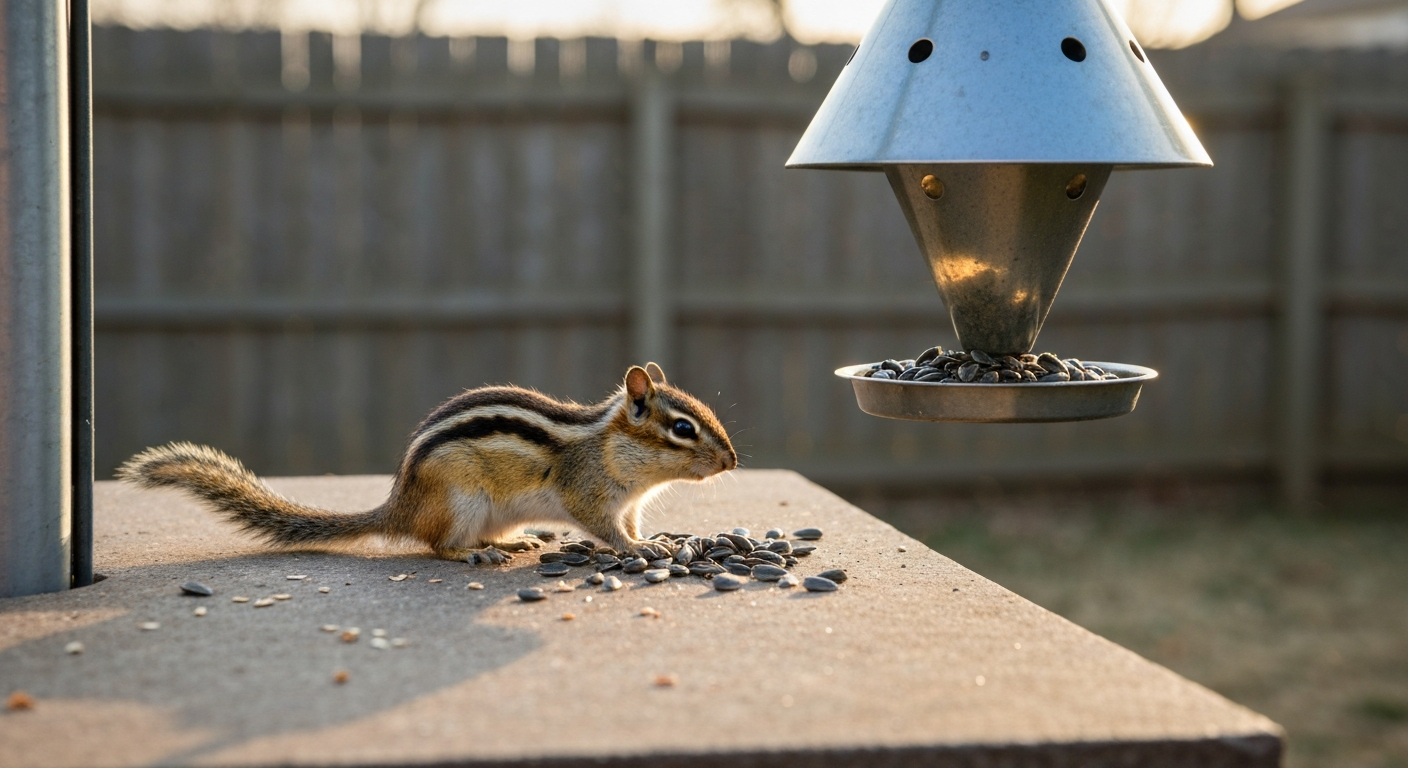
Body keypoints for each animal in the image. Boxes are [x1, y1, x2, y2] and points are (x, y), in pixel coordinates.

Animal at [118, 363, 737, 564]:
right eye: (683, 429)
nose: (732, 461)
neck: (610, 445)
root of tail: (398, 507)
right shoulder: (587, 493)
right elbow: (606, 529)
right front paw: (638, 551)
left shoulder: (627, 502)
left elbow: (629, 523)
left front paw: (651, 540)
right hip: (460, 501)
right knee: (437, 546)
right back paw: (471, 554)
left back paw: (513, 541)